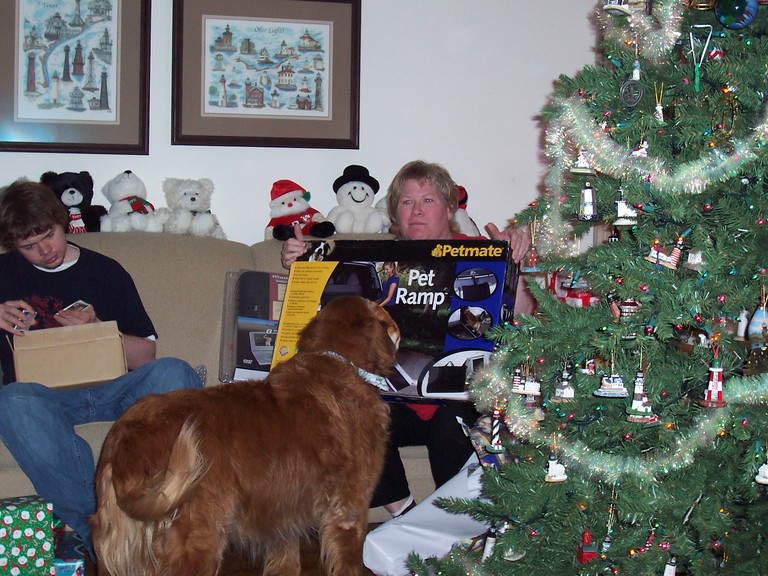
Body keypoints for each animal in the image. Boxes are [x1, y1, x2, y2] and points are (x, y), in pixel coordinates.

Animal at [91, 296, 399, 576]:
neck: (338, 361)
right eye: (381, 311)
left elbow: (285, 562)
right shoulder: (350, 508)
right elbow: (351, 564)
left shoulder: (282, 512)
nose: (398, 322)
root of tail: (125, 438)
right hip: (201, 540)